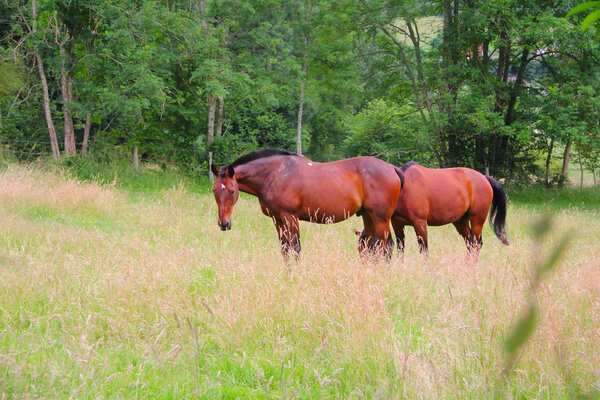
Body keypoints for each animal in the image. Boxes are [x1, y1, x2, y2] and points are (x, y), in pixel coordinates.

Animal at [211, 148, 404, 258]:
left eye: (232, 191)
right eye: (214, 190)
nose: (223, 224)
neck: (275, 174)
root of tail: (392, 168)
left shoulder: (290, 216)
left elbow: (295, 248)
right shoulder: (277, 219)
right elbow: (285, 249)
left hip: (380, 218)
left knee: (386, 247)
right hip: (368, 216)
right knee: (373, 246)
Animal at [354, 161, 508, 258]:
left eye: (369, 248)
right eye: (359, 249)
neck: (403, 189)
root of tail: (485, 178)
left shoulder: (420, 223)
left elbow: (424, 250)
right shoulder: (397, 223)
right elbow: (401, 248)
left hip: (477, 220)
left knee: (476, 244)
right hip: (460, 221)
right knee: (470, 244)